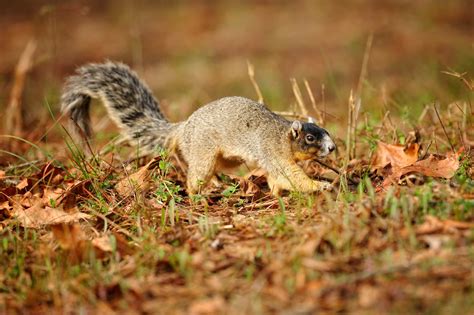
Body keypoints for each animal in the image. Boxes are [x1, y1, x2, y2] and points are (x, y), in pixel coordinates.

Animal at [61, 61, 336, 195]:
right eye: (310, 138)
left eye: (326, 132)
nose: (333, 147)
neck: (282, 136)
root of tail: (182, 128)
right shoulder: (274, 153)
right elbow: (291, 176)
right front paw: (320, 186)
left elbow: (277, 180)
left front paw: (277, 194)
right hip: (203, 151)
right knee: (196, 174)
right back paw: (197, 194)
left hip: (225, 158)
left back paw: (218, 184)